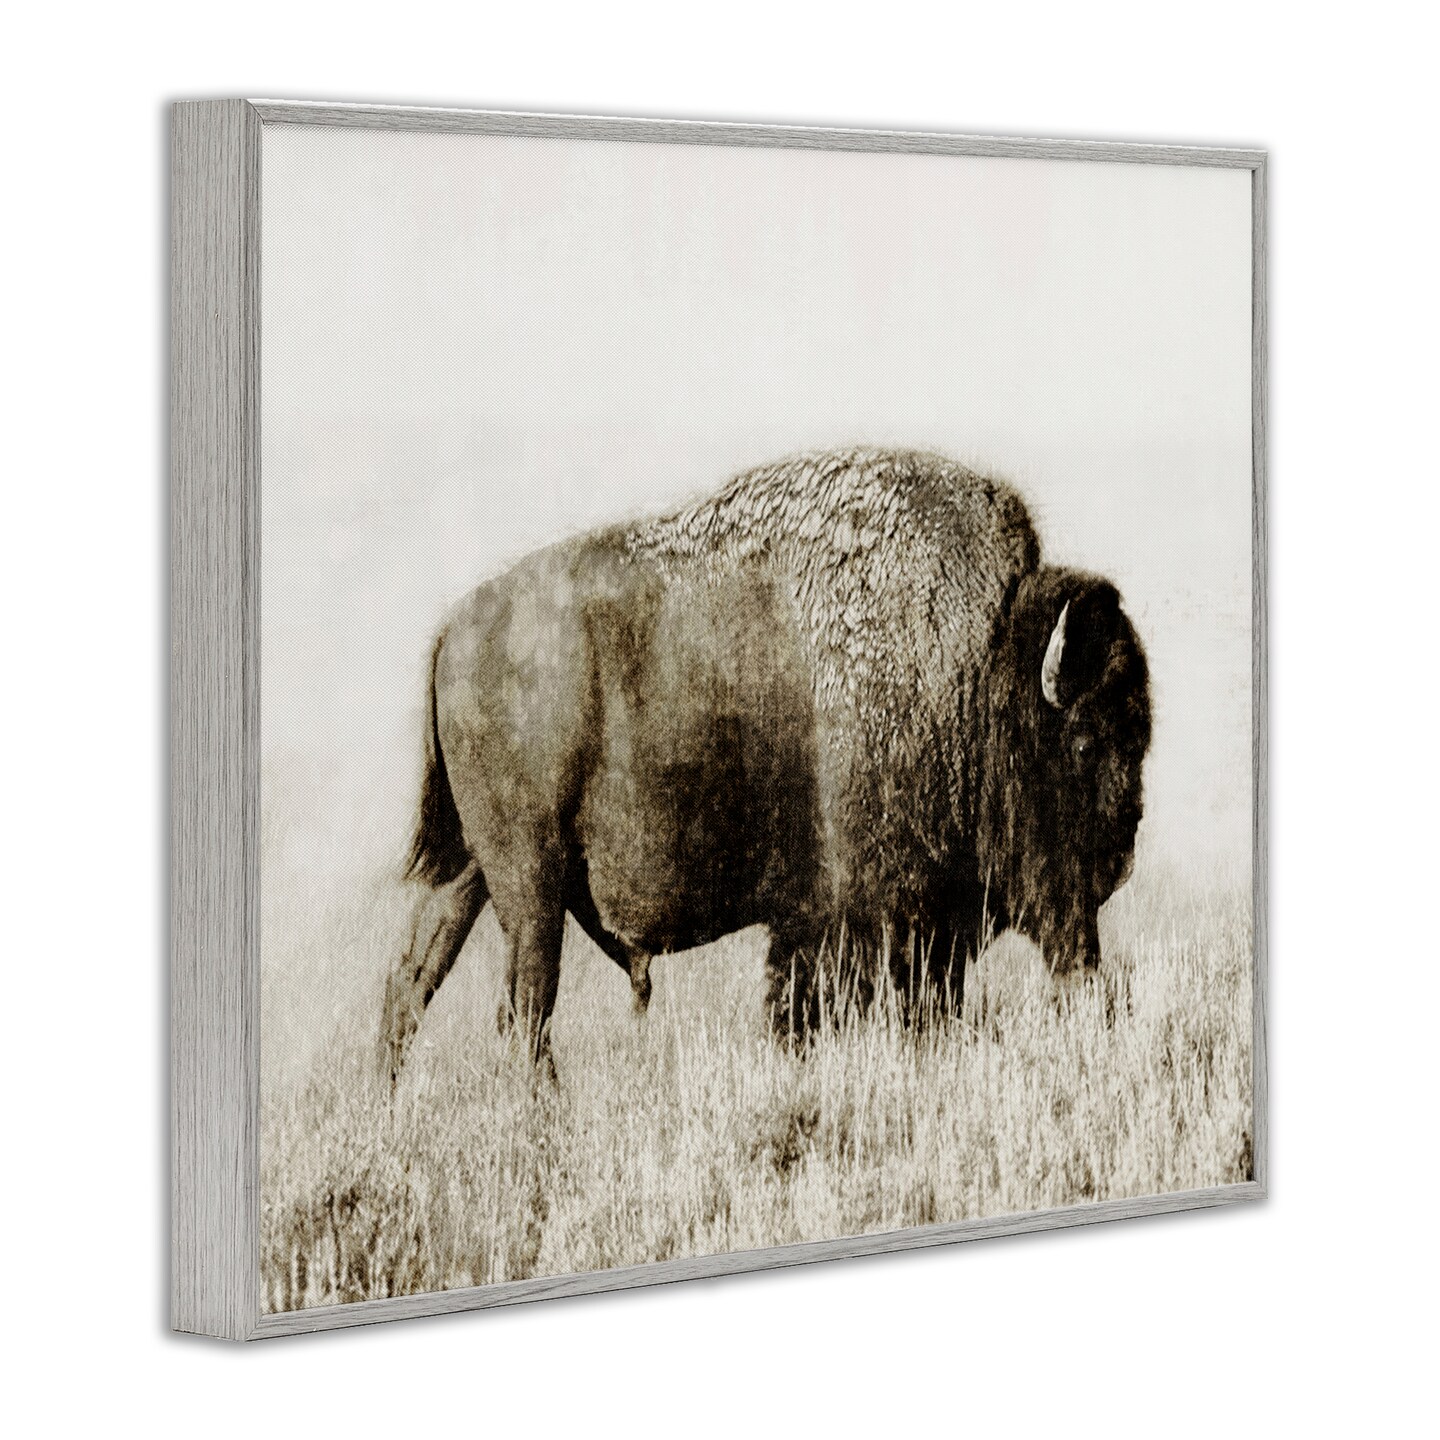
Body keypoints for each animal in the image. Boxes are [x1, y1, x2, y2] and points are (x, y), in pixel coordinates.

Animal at [381, 447, 1151, 1080]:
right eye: (1085, 743)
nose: (1118, 858)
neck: (978, 669)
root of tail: (453, 630)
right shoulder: (881, 921)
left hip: (472, 872)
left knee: (411, 983)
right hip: (529, 879)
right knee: (523, 1009)